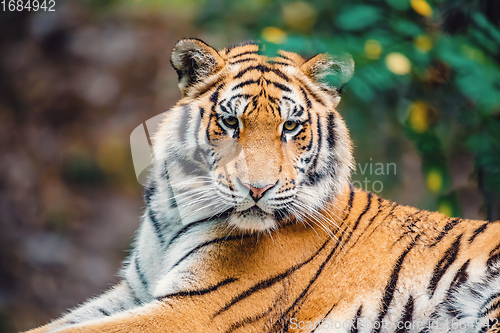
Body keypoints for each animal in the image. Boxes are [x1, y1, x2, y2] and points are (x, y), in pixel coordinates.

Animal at [28, 37, 500, 330]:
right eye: (230, 122)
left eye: (291, 126)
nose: (258, 189)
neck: (176, 213)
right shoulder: (135, 291)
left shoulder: (195, 308)